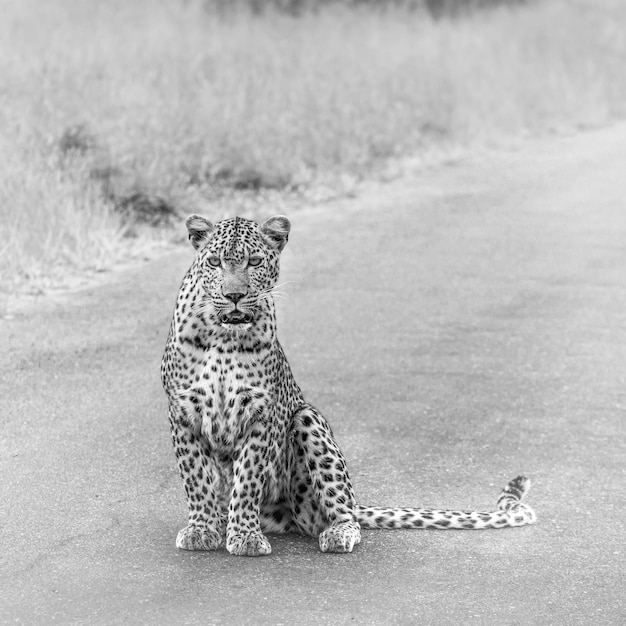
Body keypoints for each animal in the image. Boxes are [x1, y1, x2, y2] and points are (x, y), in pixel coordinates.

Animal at [158, 212, 532, 552]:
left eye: (254, 261)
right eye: (215, 262)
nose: (234, 295)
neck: (224, 336)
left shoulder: (262, 413)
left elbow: (247, 478)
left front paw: (245, 536)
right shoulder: (182, 411)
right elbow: (196, 478)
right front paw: (202, 529)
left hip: (307, 420)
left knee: (341, 512)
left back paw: (338, 533)